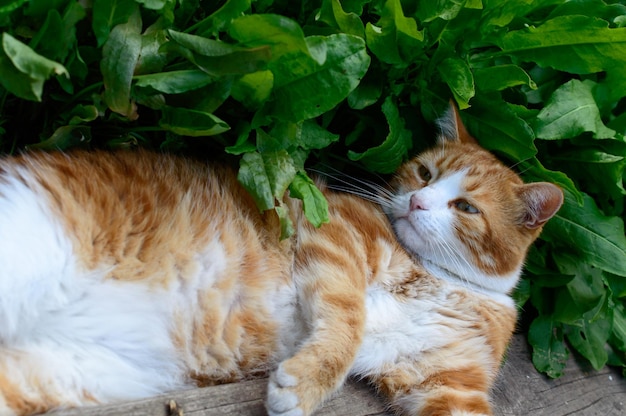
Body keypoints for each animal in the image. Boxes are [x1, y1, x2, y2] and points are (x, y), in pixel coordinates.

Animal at [0, 101, 560, 416]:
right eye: (424, 173)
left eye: (465, 207)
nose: (417, 202)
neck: (443, 279)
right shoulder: (336, 238)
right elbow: (348, 320)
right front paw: (309, 382)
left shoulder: (450, 383)